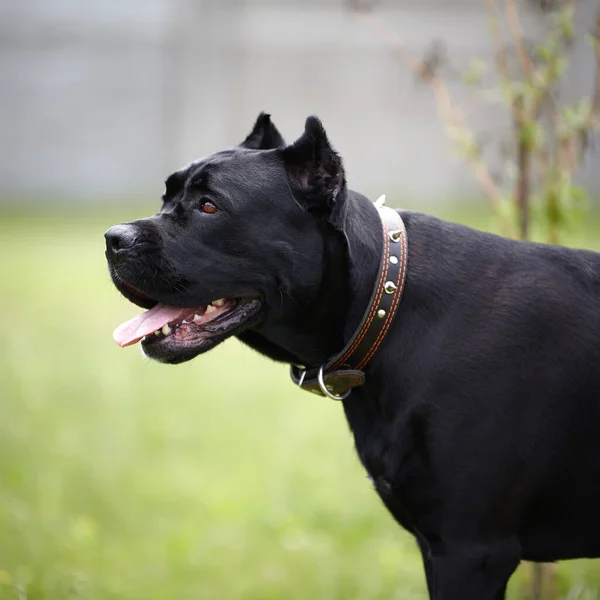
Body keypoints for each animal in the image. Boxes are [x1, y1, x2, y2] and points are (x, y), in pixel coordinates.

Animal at [105, 113, 600, 600]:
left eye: (209, 206)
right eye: (166, 197)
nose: (113, 238)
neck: (384, 303)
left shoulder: (471, 550)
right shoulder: (442, 547)